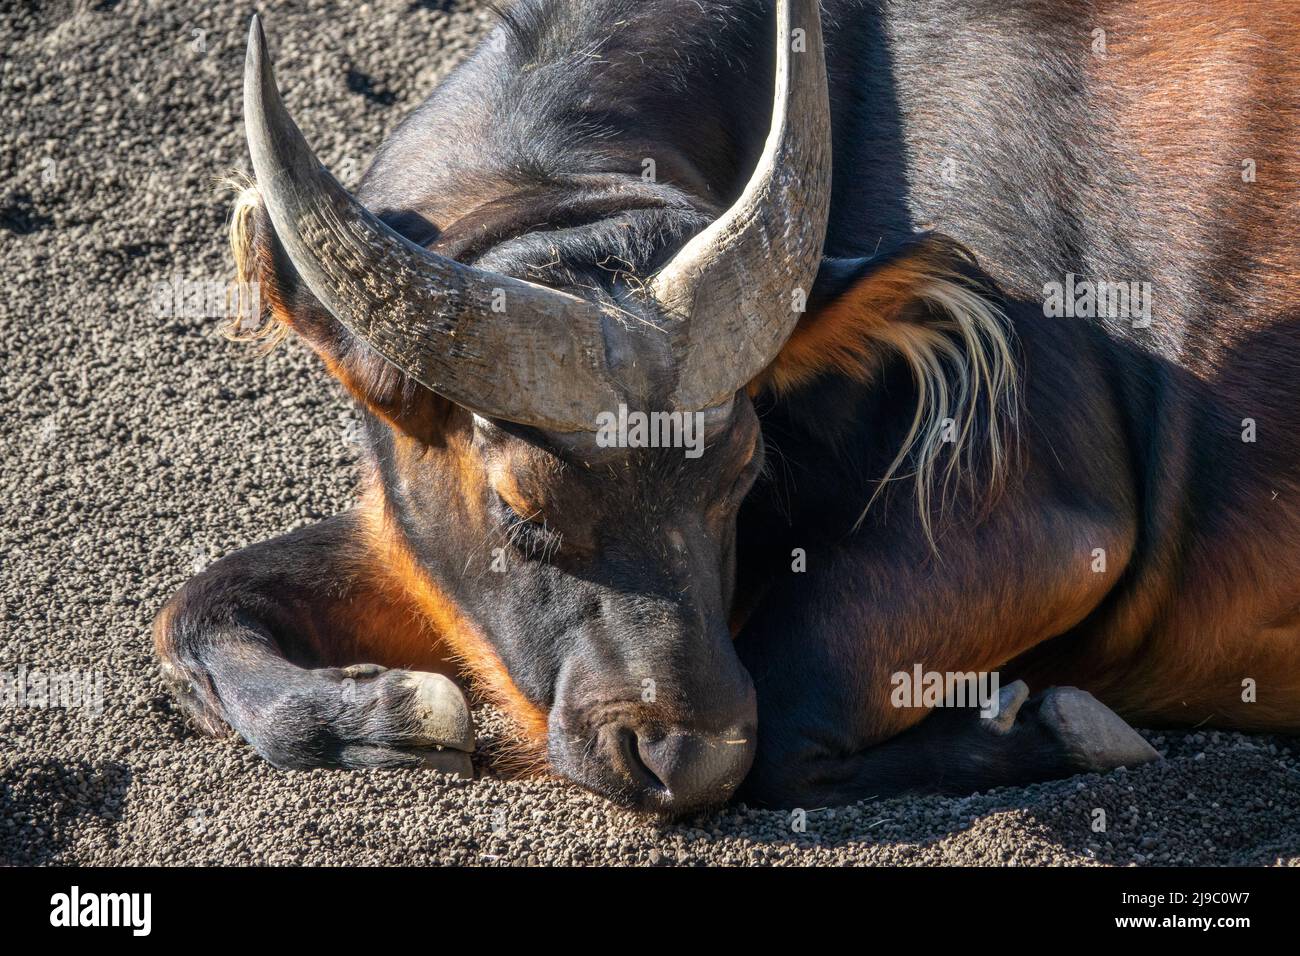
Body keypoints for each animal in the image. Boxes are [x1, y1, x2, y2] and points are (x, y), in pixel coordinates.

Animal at [157, 0, 1300, 816]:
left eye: (742, 473)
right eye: (521, 505)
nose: (688, 755)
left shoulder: (1054, 524)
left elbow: (786, 719)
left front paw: (1054, 725)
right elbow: (194, 608)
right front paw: (392, 707)